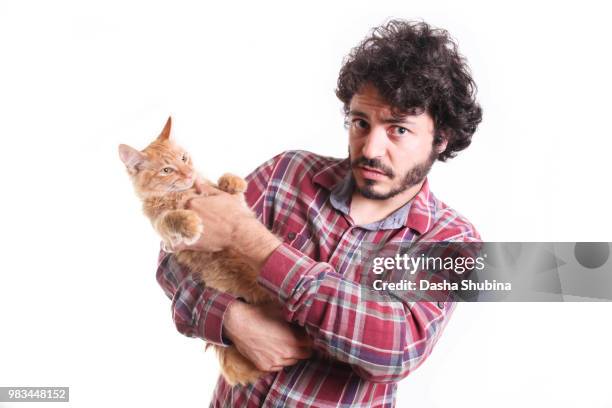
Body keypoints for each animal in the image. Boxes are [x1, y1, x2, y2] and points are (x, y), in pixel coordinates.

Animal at [119, 117, 272, 386]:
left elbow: (231, 192)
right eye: (167, 170)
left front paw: (232, 181)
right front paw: (189, 223)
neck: (183, 193)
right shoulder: (163, 231)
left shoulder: (239, 207)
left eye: (184, 158)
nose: (188, 173)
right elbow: (171, 218)